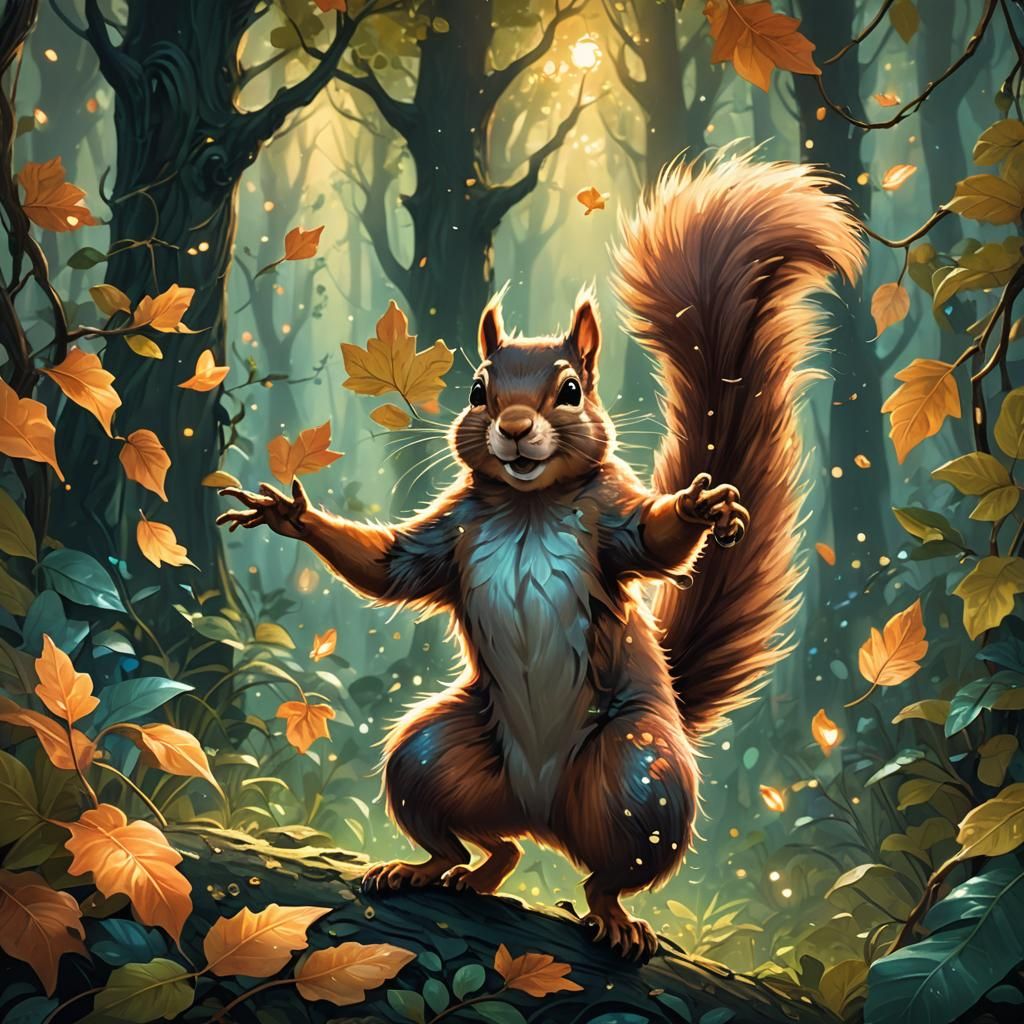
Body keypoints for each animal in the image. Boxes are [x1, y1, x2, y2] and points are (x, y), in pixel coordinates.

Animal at [218, 154, 864, 960]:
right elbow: (390, 567)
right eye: (476, 390)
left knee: (605, 872)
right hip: (431, 756)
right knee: (487, 844)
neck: (528, 507)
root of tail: (543, 809)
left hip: (639, 775)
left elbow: (653, 540)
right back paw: (433, 868)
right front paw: (288, 514)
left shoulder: (610, 525)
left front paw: (699, 506)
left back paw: (612, 915)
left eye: (571, 390)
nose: (518, 427)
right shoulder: (451, 534)